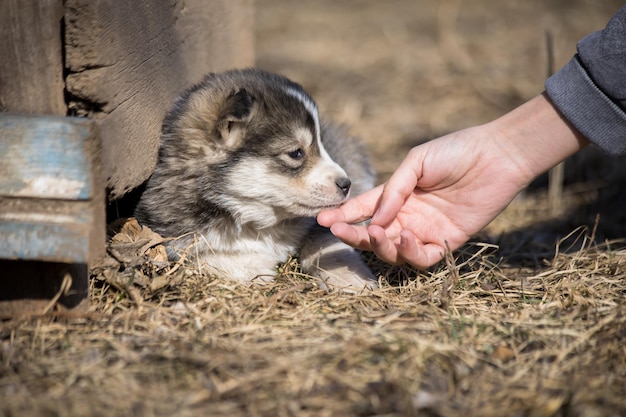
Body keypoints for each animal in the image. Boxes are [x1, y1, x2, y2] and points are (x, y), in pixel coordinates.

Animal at [135, 67, 376, 290]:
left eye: (321, 145)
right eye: (296, 153)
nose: (346, 184)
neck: (257, 220)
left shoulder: (318, 222)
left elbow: (329, 243)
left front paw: (349, 277)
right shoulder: (179, 239)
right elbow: (217, 257)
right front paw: (257, 268)